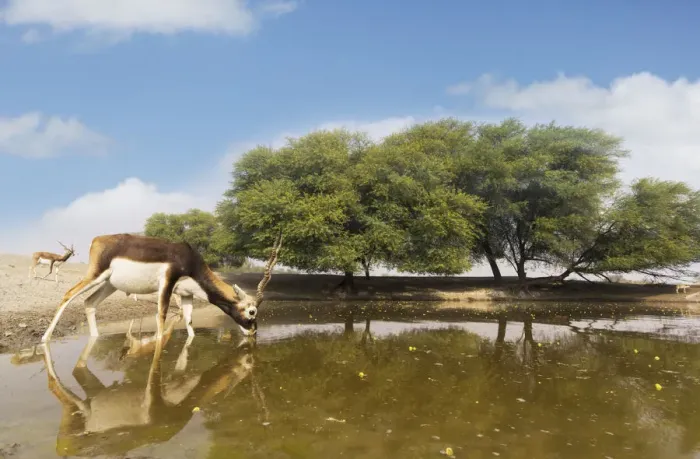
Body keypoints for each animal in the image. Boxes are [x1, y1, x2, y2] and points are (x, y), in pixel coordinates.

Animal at [41, 231, 283, 343]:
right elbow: (162, 318)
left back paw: (95, 338)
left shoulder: (186, 295)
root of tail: (98, 240)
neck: (190, 262)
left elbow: (190, 323)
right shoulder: (167, 283)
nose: (253, 332)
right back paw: (44, 338)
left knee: (89, 302)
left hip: (109, 284)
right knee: (68, 294)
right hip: (96, 276)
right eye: (251, 311)